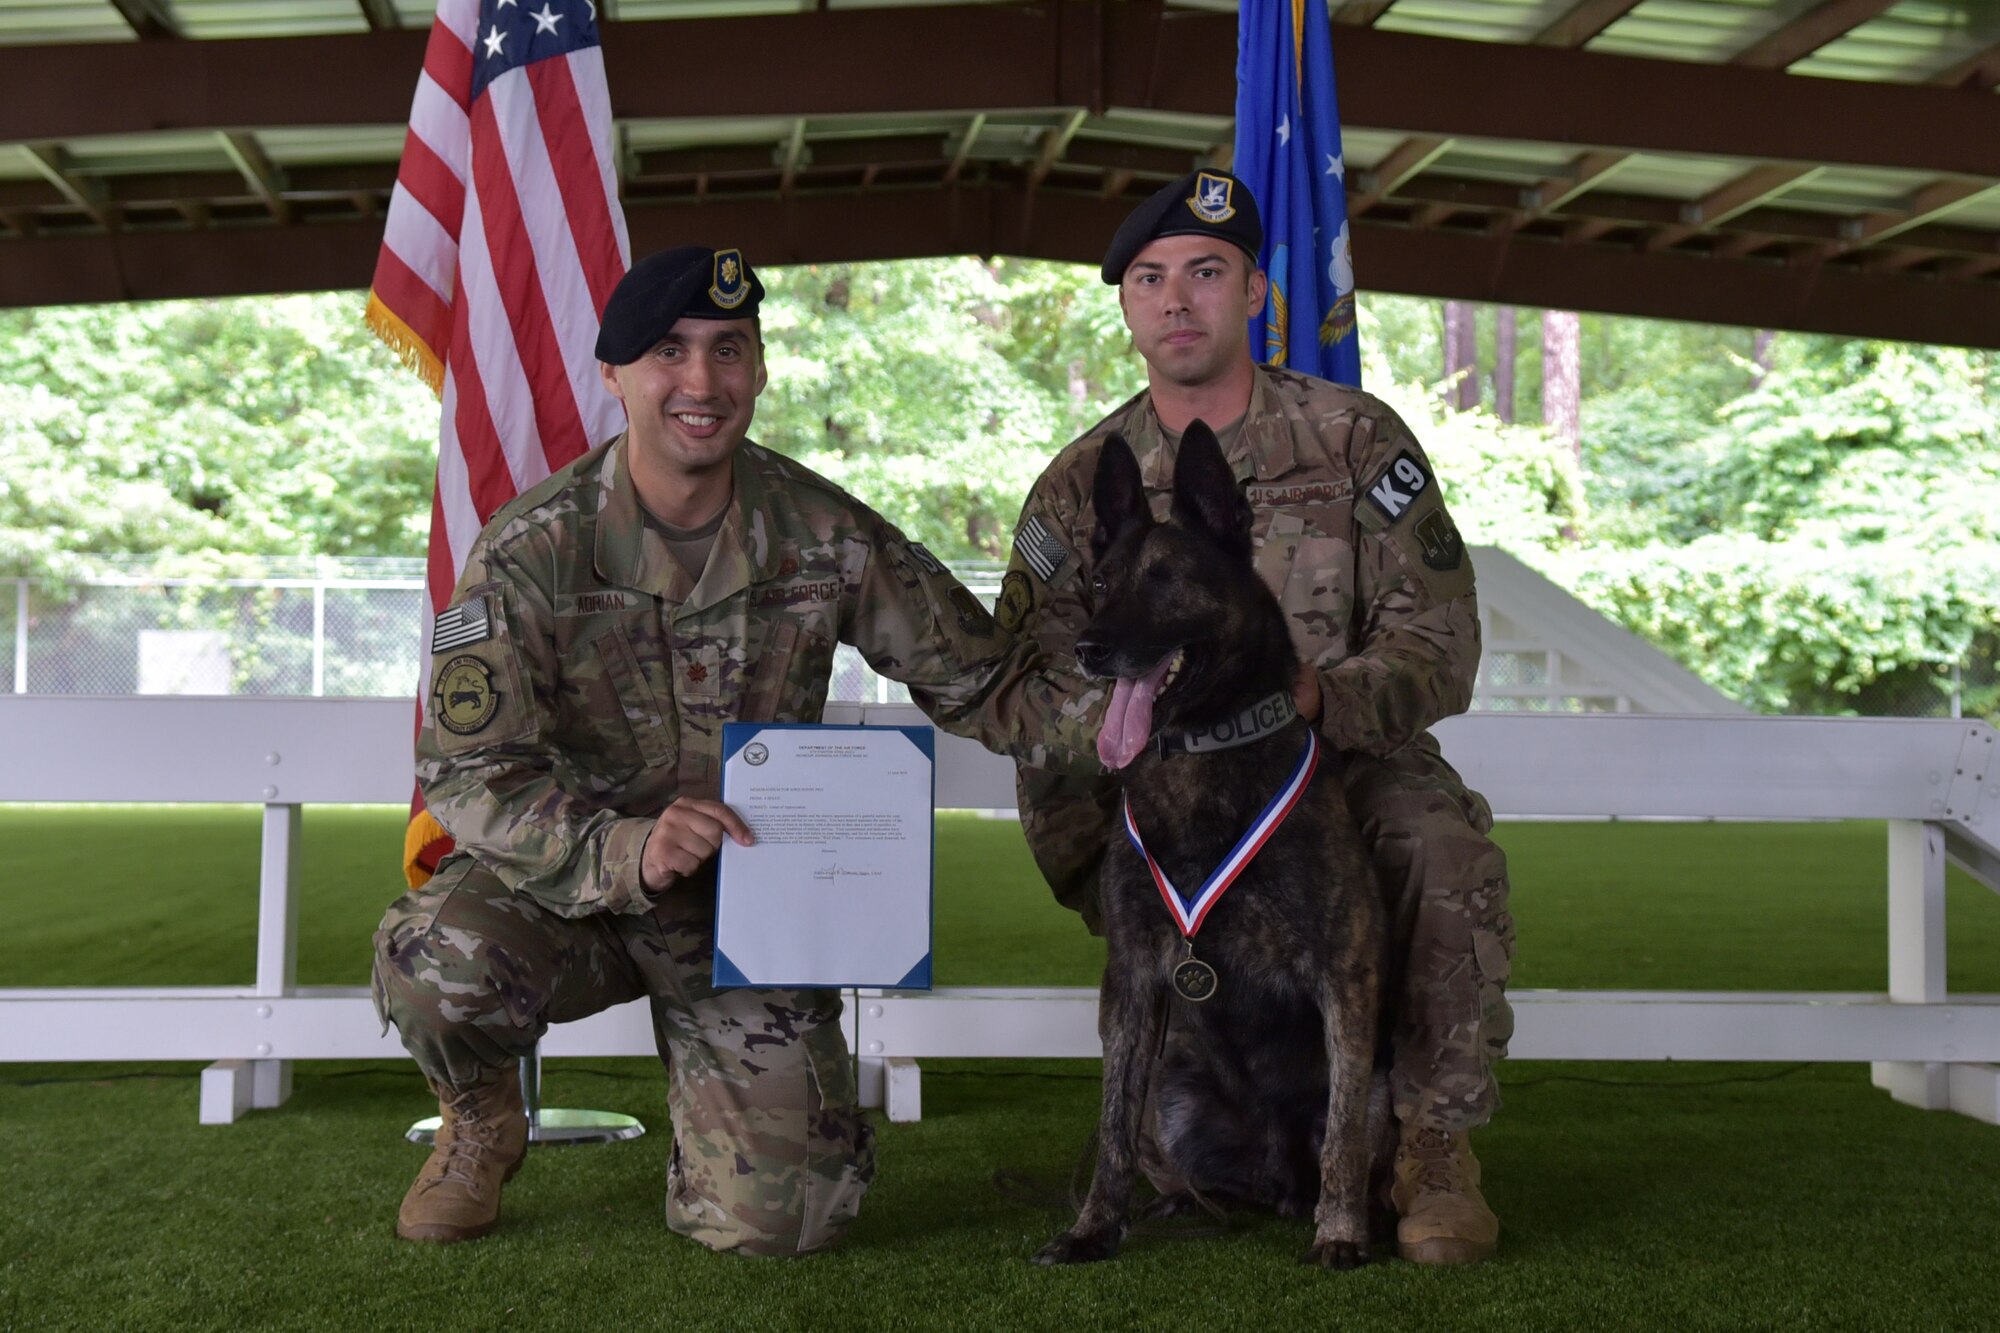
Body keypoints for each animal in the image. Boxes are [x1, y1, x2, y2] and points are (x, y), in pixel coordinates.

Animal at [1040, 422, 1384, 1264]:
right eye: (1102, 581)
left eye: (1167, 579)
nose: (1090, 647)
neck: (1199, 750)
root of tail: (1274, 1158)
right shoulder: (1132, 978)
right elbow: (1112, 1121)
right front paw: (1095, 1226)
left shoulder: (1345, 973)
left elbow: (1345, 1135)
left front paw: (1340, 1232)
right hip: (1178, 1088)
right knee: (1192, 1163)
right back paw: (1186, 1202)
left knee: (1343, 1139)